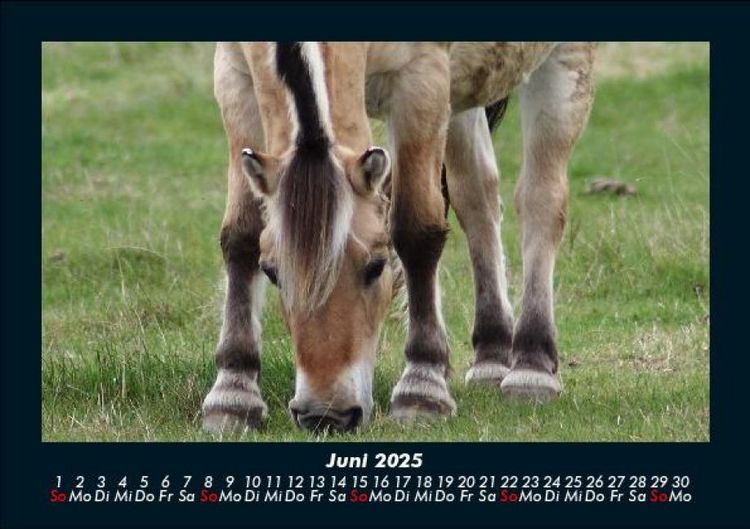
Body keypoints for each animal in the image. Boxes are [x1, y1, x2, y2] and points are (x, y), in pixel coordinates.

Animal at [201, 42, 595, 433]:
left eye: (376, 266)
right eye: (271, 273)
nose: (326, 415)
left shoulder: (422, 80)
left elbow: (416, 232)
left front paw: (422, 388)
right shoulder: (234, 78)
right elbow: (242, 236)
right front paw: (233, 394)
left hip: (564, 66)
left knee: (540, 203)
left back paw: (532, 367)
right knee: (477, 197)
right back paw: (491, 356)